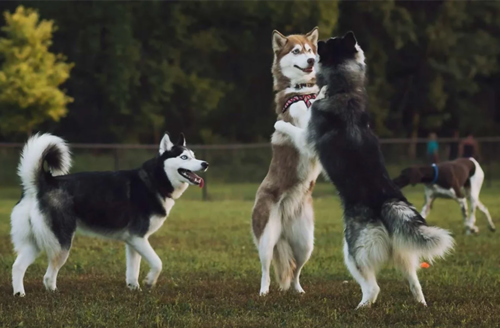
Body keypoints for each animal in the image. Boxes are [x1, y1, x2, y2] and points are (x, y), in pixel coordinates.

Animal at [11, 132, 208, 296]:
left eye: (194, 155)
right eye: (184, 157)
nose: (205, 164)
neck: (155, 180)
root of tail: (42, 183)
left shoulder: (133, 241)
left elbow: (133, 270)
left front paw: (134, 288)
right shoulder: (138, 237)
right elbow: (158, 263)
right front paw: (149, 282)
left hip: (35, 242)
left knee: (17, 266)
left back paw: (20, 294)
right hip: (61, 243)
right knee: (48, 275)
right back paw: (53, 292)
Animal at [252, 26, 322, 296]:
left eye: (311, 50)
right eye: (296, 51)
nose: (311, 61)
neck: (302, 92)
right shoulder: (306, 136)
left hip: (305, 242)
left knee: (295, 270)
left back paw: (298, 290)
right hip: (266, 238)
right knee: (265, 268)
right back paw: (263, 291)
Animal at [276, 30, 456, 308]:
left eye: (323, 45)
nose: (316, 48)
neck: (345, 88)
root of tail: (386, 201)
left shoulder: (307, 138)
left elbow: (296, 124)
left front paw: (281, 123)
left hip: (353, 250)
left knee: (373, 288)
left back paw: (361, 307)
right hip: (403, 253)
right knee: (414, 281)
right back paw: (420, 303)